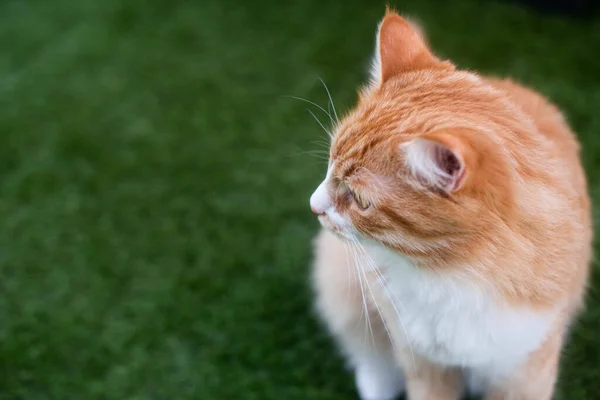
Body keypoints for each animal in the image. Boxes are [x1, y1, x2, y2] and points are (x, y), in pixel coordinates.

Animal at [310, 9, 592, 400]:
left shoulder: (526, 369)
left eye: (361, 201)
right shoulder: (420, 359)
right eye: (329, 164)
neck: (450, 273)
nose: (314, 205)